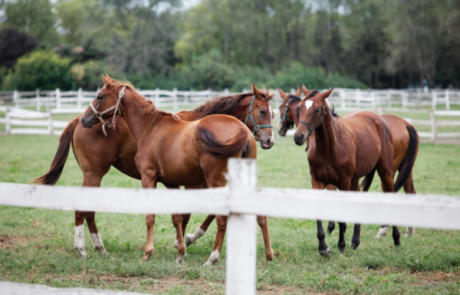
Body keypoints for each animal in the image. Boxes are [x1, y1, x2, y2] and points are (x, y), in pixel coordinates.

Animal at [36, 74, 274, 266]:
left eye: (100, 96)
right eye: (263, 111)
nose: (269, 141)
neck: (152, 127)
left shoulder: (166, 180)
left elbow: (173, 215)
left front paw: (173, 247)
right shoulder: (182, 182)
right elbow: (181, 216)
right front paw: (182, 245)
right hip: (94, 175)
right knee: (85, 210)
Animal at [276, 89, 420, 239]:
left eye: (281, 107)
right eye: (299, 108)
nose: (280, 129)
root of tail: (406, 124)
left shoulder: (337, 180)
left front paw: (333, 227)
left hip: (387, 171)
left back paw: (384, 230)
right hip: (405, 169)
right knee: (410, 191)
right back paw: (408, 230)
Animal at [292, 86, 398, 256]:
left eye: (317, 109)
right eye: (299, 107)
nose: (298, 136)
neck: (329, 147)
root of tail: (379, 118)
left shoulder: (343, 183)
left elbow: (342, 218)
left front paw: (341, 245)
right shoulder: (317, 181)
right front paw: (323, 247)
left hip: (385, 172)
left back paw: (397, 239)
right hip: (355, 180)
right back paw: (355, 242)